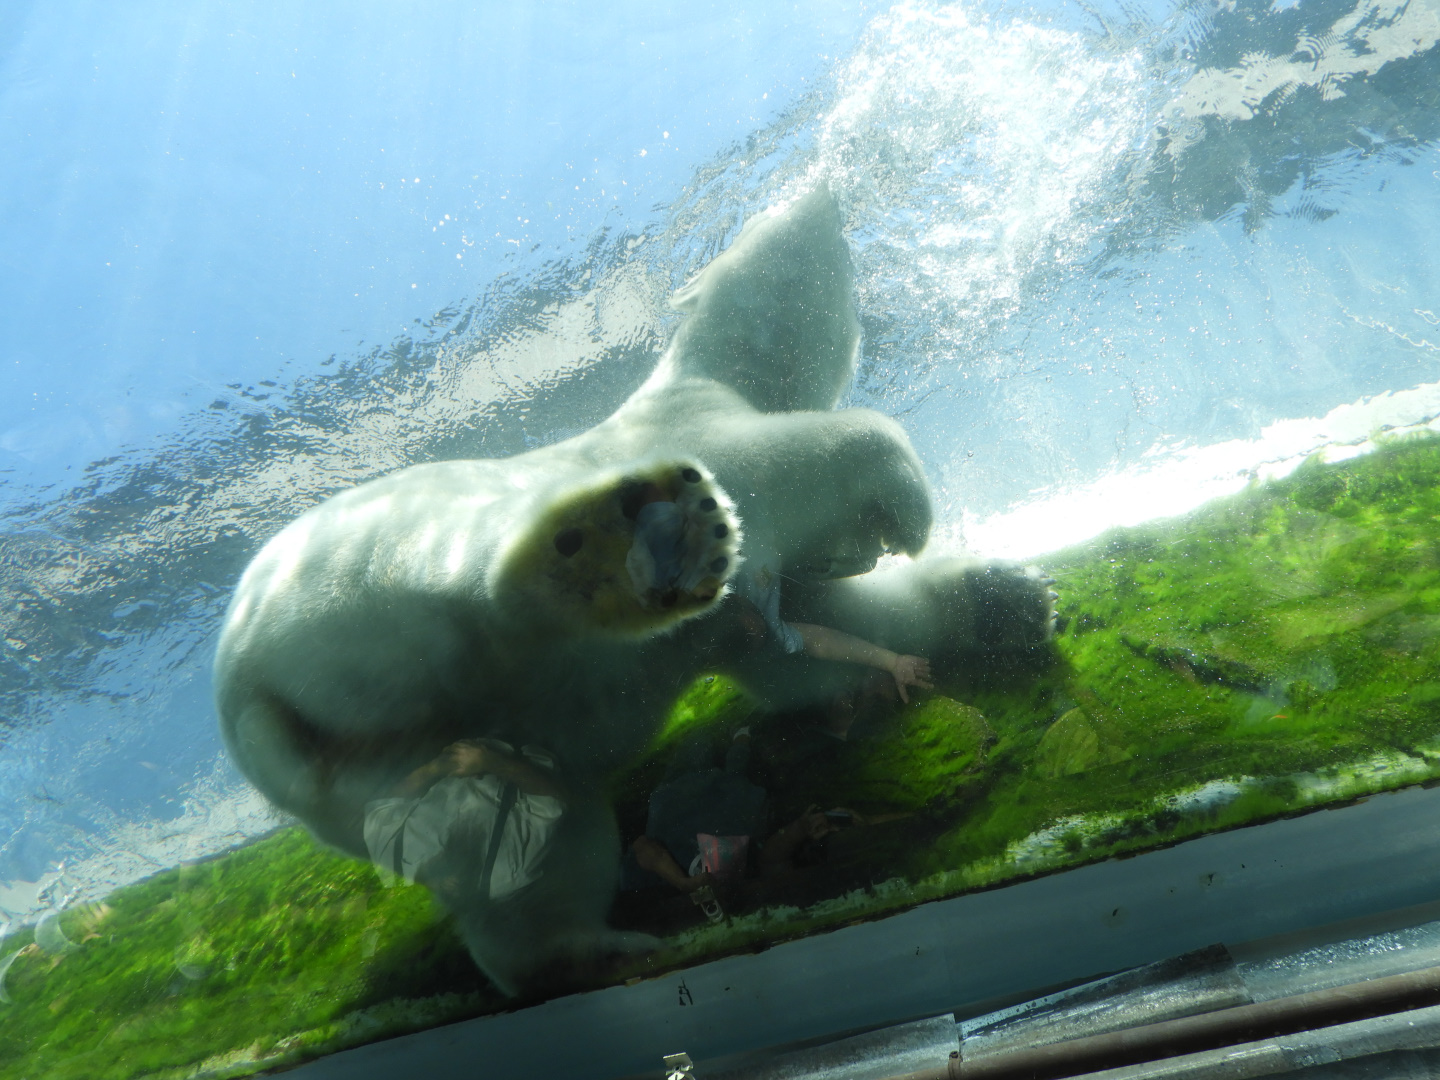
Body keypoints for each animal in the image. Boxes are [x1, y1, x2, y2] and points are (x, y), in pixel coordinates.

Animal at [214, 186, 1054, 996]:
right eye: (786, 216)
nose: (829, 190)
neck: (708, 372)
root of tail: (250, 701)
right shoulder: (706, 435)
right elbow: (802, 458)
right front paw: (906, 517)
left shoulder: (731, 622)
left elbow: (822, 644)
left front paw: (1012, 598)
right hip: (366, 581)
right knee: (467, 570)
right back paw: (582, 551)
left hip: (410, 769)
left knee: (535, 848)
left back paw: (599, 952)